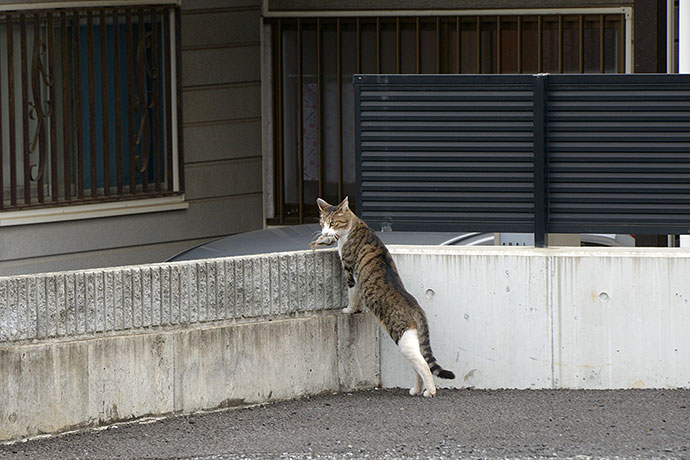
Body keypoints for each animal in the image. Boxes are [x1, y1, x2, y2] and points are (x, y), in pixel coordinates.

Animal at [310, 196, 452, 398]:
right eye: (322, 223)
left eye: (333, 223)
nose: (324, 232)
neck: (354, 226)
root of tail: (416, 308)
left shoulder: (350, 271)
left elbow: (352, 295)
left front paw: (349, 310)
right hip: (411, 340)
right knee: (417, 365)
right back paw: (416, 390)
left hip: (403, 337)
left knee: (423, 364)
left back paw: (430, 391)